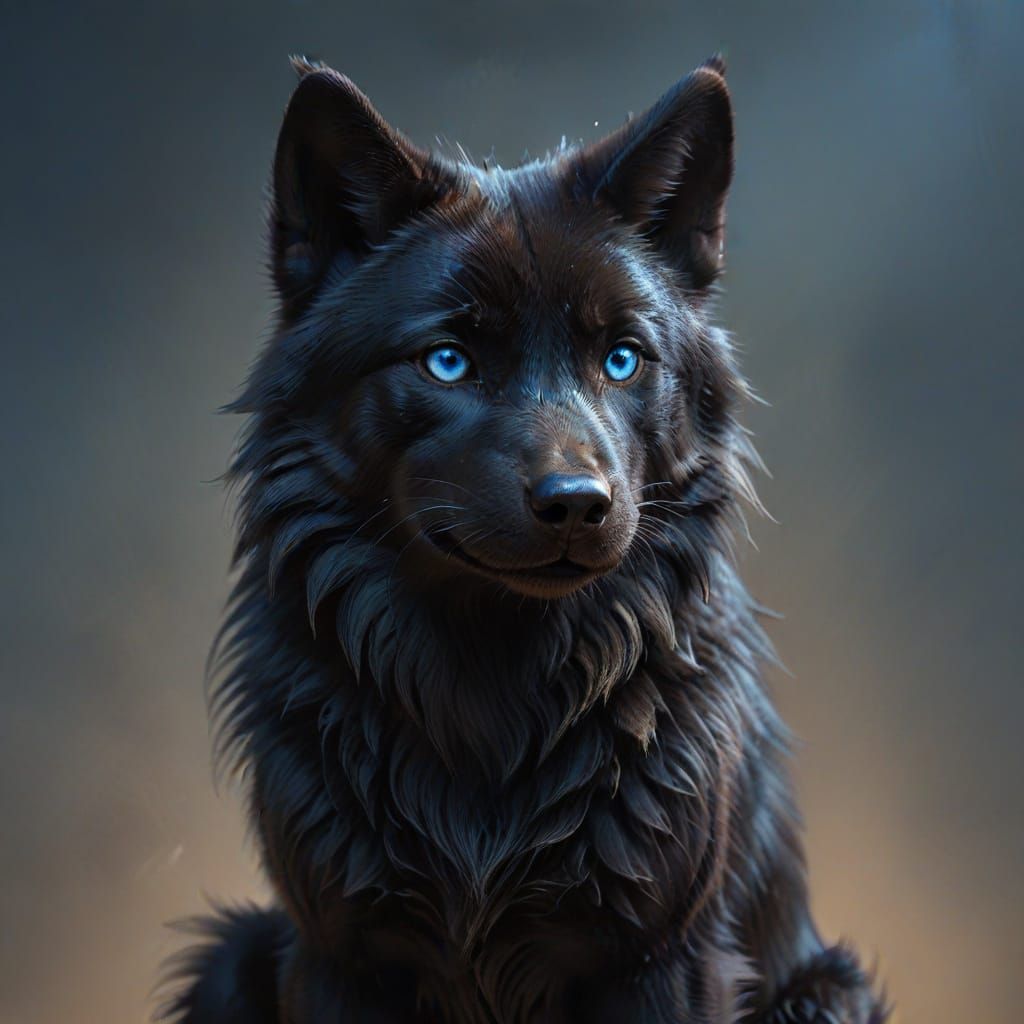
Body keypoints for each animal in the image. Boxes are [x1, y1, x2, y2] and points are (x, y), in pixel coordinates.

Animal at [162, 56, 887, 1024]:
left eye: (622, 359)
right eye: (448, 361)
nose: (579, 504)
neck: (494, 690)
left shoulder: (662, 960)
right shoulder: (339, 954)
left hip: (828, 992)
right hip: (233, 952)